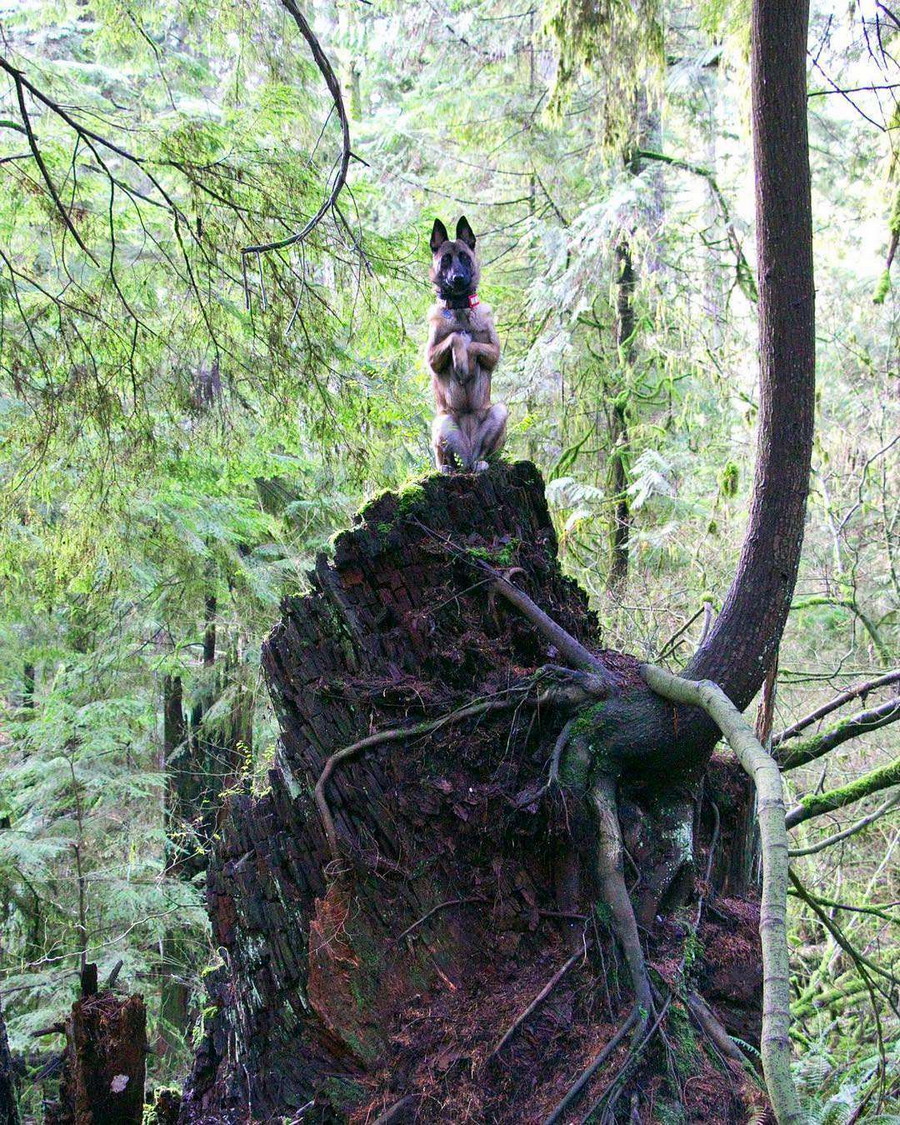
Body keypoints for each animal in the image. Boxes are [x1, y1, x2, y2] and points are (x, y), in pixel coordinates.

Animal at [427, 217, 510, 472]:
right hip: (442, 421)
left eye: (464, 256)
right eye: (445, 259)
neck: (460, 306)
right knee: (444, 457)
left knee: (483, 454)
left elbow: (473, 345)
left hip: (499, 412)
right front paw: (461, 359)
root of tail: (468, 454)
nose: (458, 279)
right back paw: (447, 468)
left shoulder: (493, 353)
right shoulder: (431, 357)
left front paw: (466, 362)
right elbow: (455, 337)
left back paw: (481, 462)